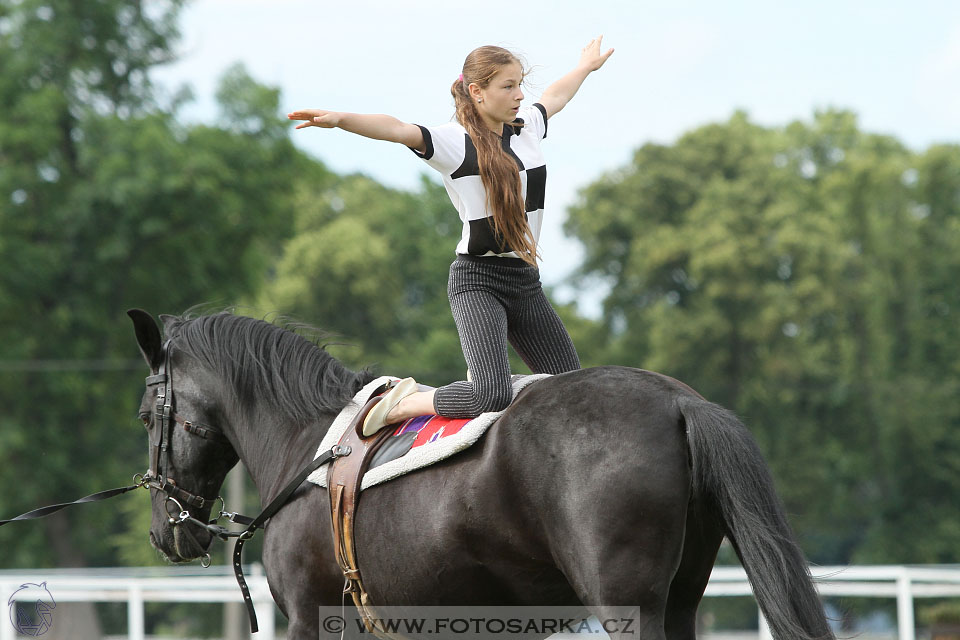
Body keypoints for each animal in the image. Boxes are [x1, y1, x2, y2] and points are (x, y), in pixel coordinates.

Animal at [125, 310, 832, 640]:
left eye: (145, 414)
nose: (167, 531)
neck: (309, 446)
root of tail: (677, 401)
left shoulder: (309, 618)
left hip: (627, 606)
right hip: (681, 603)